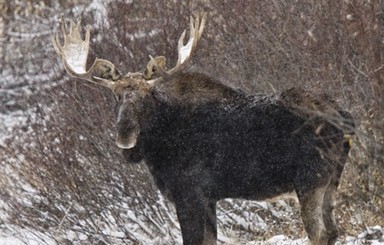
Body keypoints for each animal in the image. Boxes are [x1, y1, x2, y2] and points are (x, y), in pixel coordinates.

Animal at [52, 13, 356, 245]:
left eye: (146, 97)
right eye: (115, 96)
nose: (125, 133)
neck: (158, 149)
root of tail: (345, 117)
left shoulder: (190, 193)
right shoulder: (209, 198)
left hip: (310, 179)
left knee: (319, 234)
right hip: (332, 179)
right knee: (332, 231)